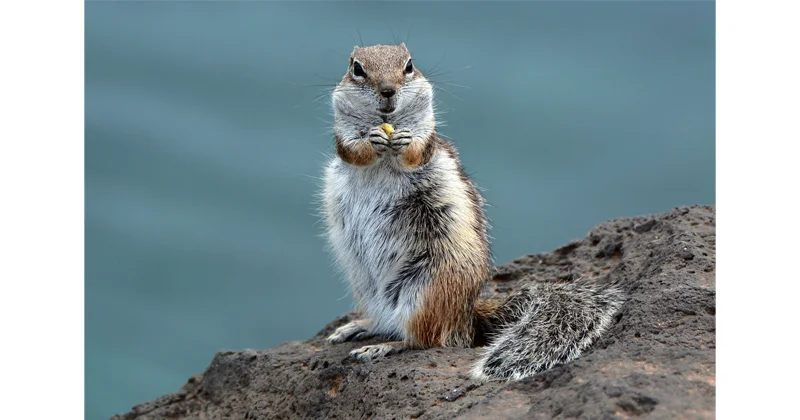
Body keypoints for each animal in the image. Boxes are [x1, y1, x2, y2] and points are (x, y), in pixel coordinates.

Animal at [321, 43, 624, 381]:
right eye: (357, 68)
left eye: (409, 66)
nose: (387, 90)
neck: (388, 123)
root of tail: (466, 318)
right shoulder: (343, 133)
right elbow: (353, 150)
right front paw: (371, 139)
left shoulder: (427, 135)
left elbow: (416, 151)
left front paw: (404, 141)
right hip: (367, 287)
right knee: (391, 323)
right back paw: (358, 328)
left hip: (424, 292)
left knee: (427, 340)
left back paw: (383, 347)